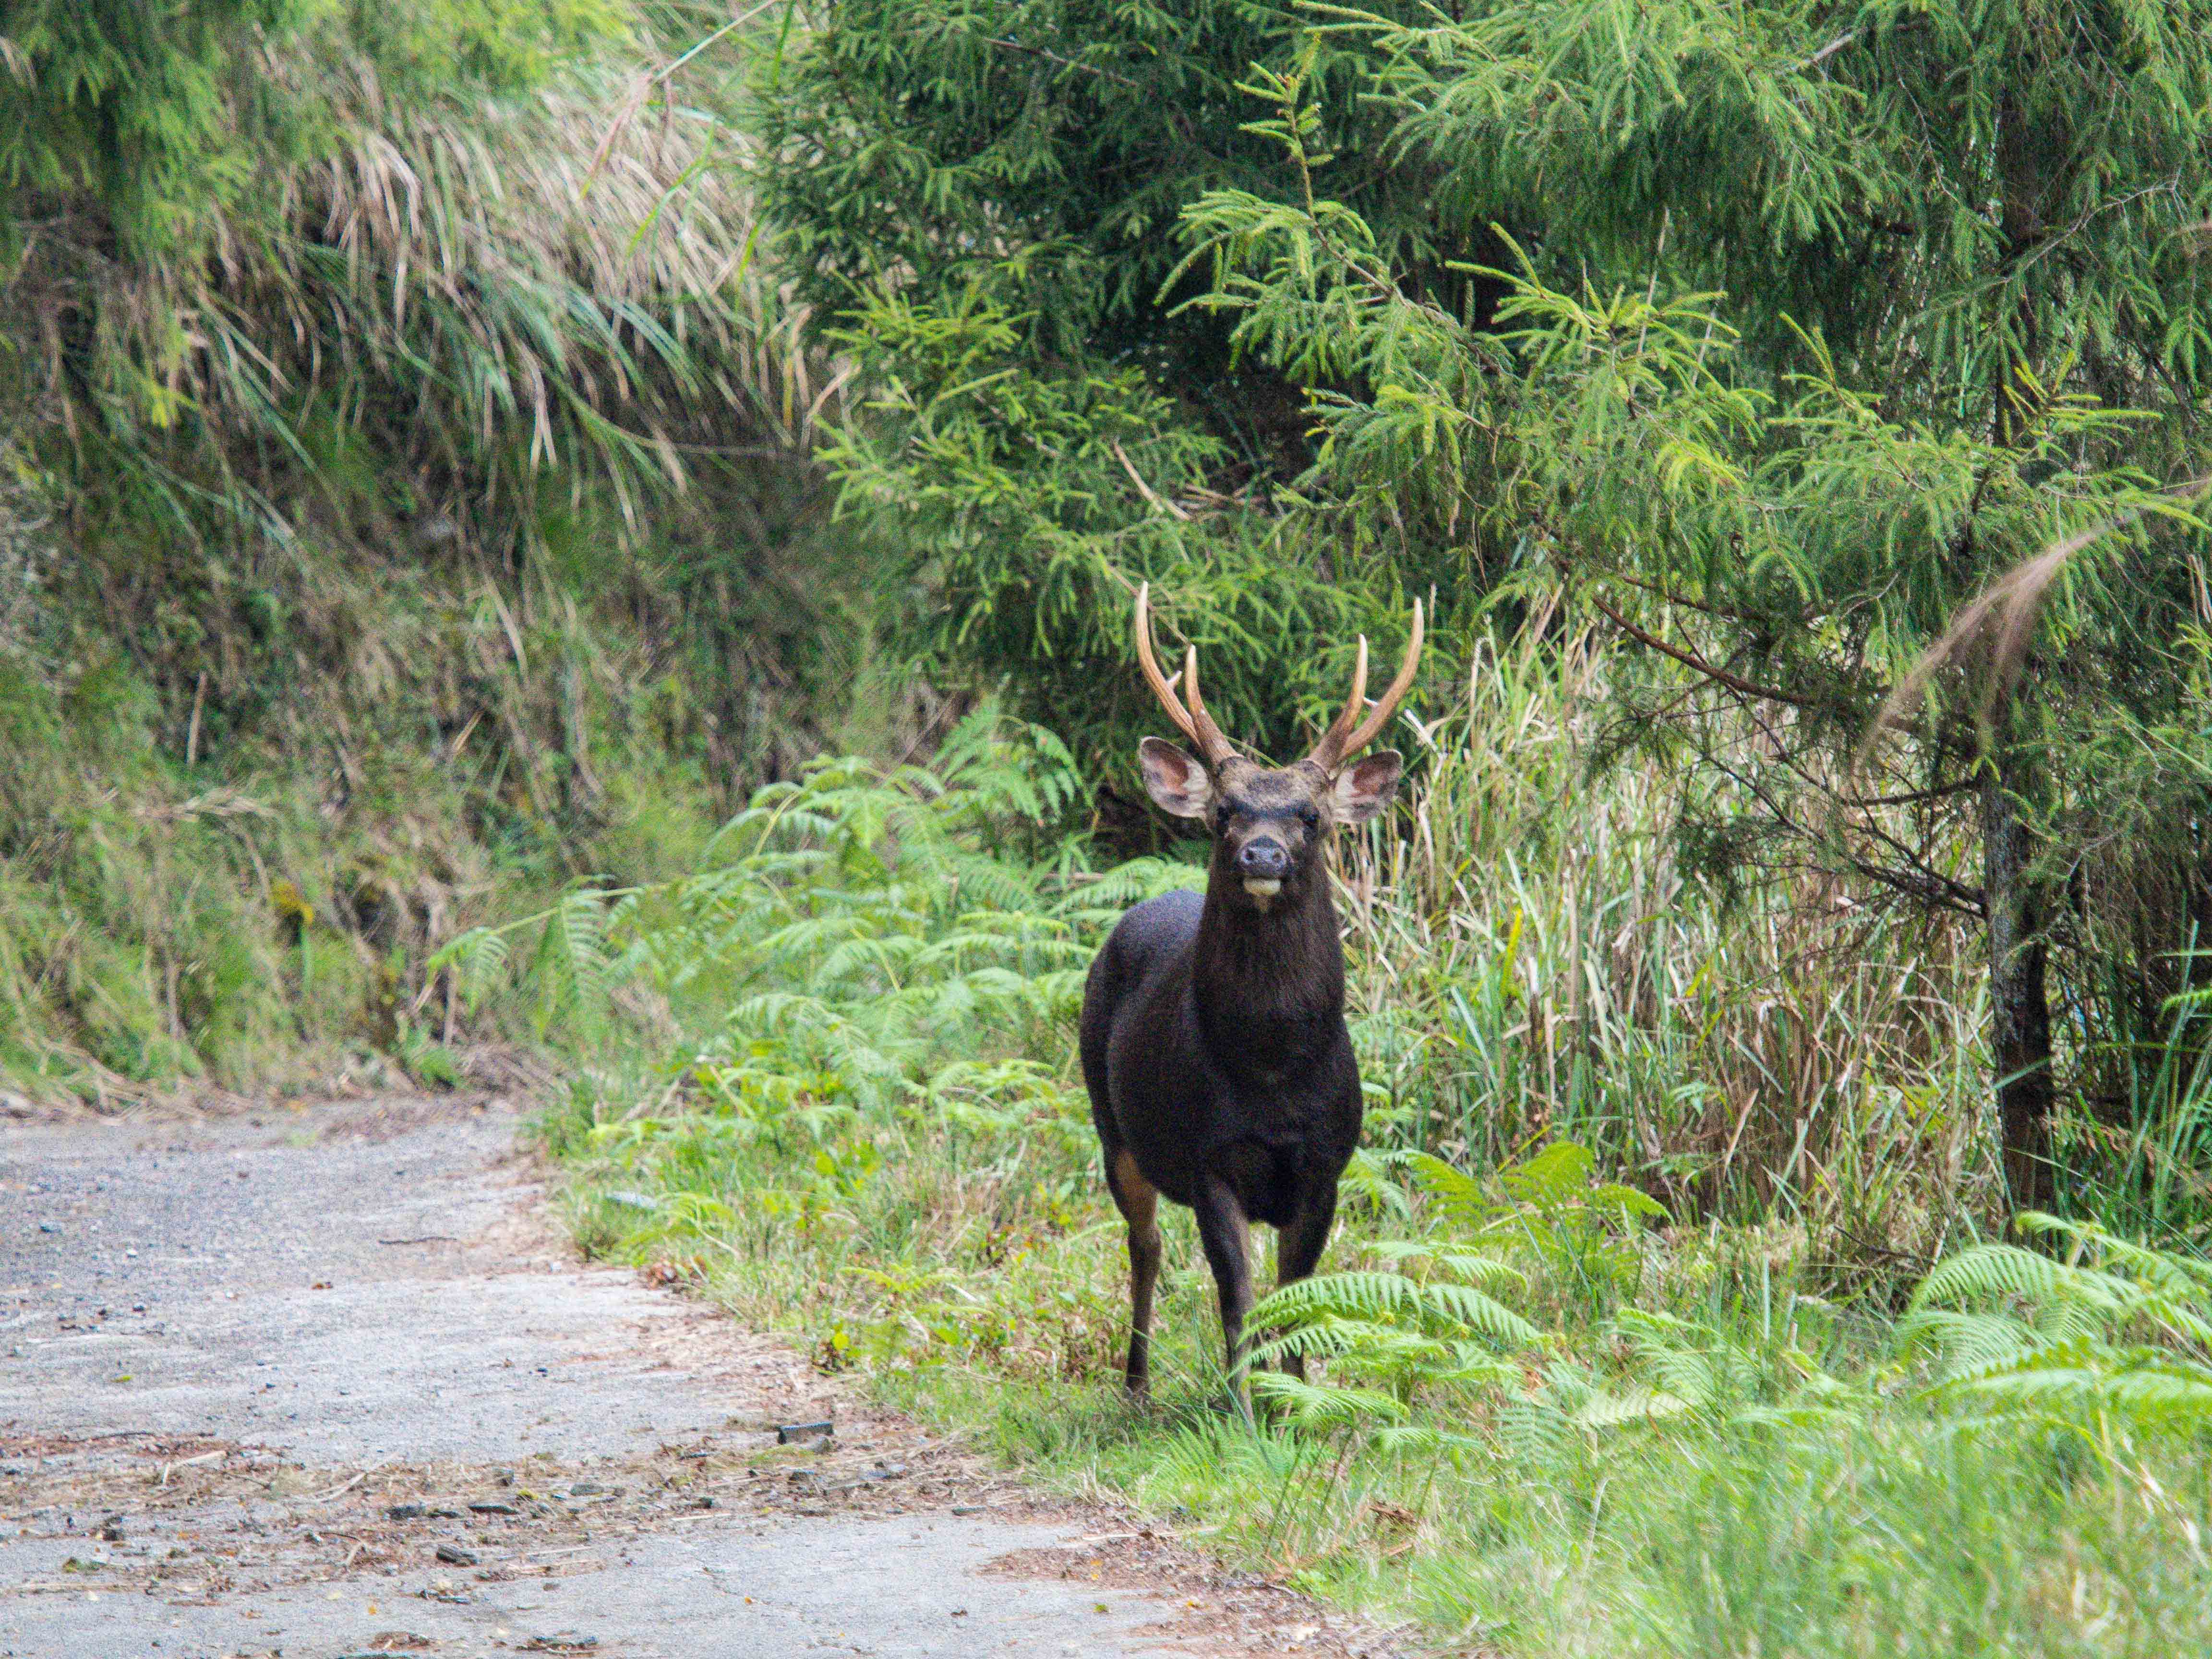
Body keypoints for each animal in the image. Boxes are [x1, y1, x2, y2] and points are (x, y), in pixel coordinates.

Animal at [1079, 584, 1424, 1407]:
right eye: (1224, 812)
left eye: (1312, 817)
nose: (1261, 854)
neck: (1271, 1070)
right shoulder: (1210, 1157)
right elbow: (1237, 1293)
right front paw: (1241, 1403)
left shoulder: (1325, 1162)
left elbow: (1297, 1292)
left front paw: (1296, 1400)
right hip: (1114, 1128)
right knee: (1144, 1245)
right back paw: (1136, 1386)